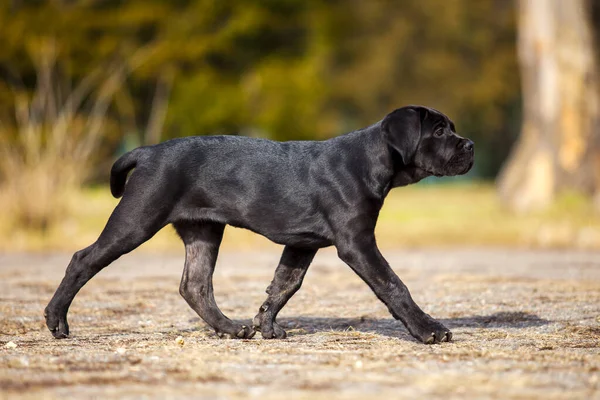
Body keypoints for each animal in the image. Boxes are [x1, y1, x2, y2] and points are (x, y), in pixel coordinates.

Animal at [44, 105, 474, 344]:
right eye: (439, 131)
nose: (469, 146)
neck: (372, 158)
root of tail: (148, 151)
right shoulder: (356, 242)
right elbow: (393, 285)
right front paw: (428, 329)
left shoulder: (303, 243)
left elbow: (284, 284)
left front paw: (265, 324)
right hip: (137, 219)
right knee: (83, 259)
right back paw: (56, 321)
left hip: (203, 230)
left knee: (195, 285)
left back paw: (231, 329)